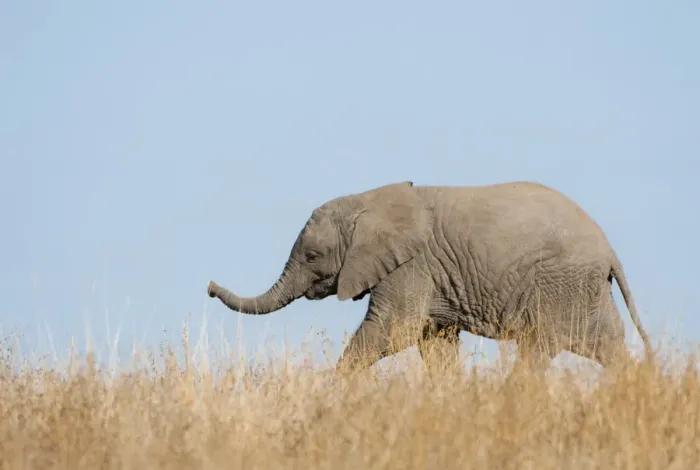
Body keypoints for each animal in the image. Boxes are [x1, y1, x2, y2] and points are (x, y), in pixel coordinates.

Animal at [207, 181, 652, 374]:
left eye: (312, 256)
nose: (208, 286)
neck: (365, 202)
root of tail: (610, 251)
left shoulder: (410, 267)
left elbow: (393, 329)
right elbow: (433, 341)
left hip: (559, 284)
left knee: (537, 349)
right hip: (583, 291)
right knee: (609, 347)